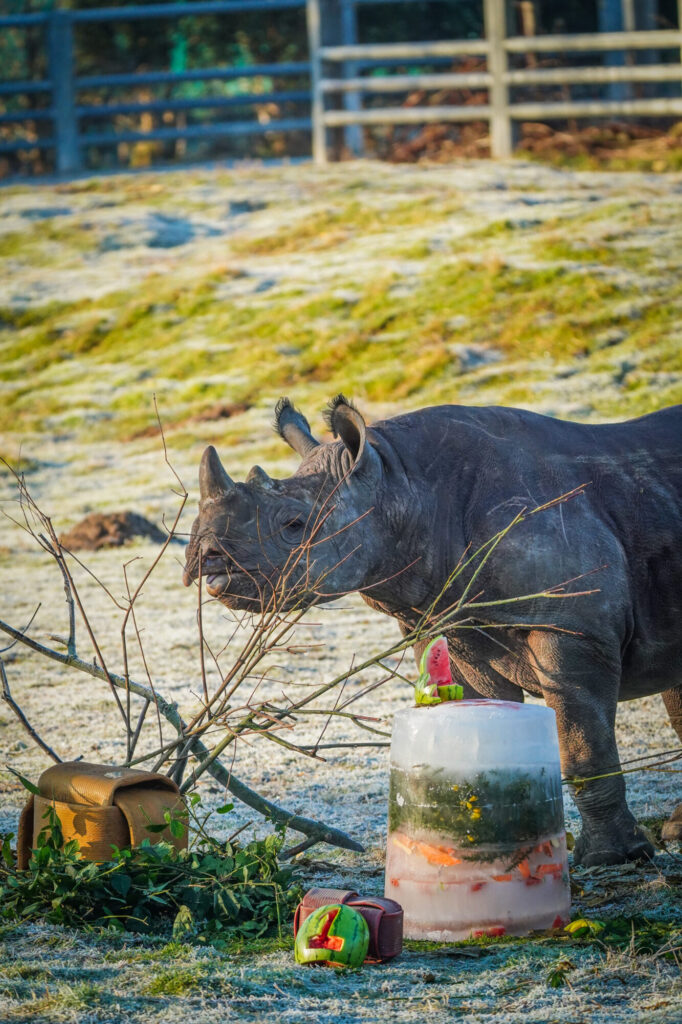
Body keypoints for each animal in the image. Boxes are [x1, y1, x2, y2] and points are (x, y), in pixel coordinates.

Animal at [183, 396, 682, 866]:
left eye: (293, 525)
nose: (204, 557)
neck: (403, 487)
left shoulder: (570, 626)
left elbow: (584, 746)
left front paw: (614, 857)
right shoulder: (455, 625)